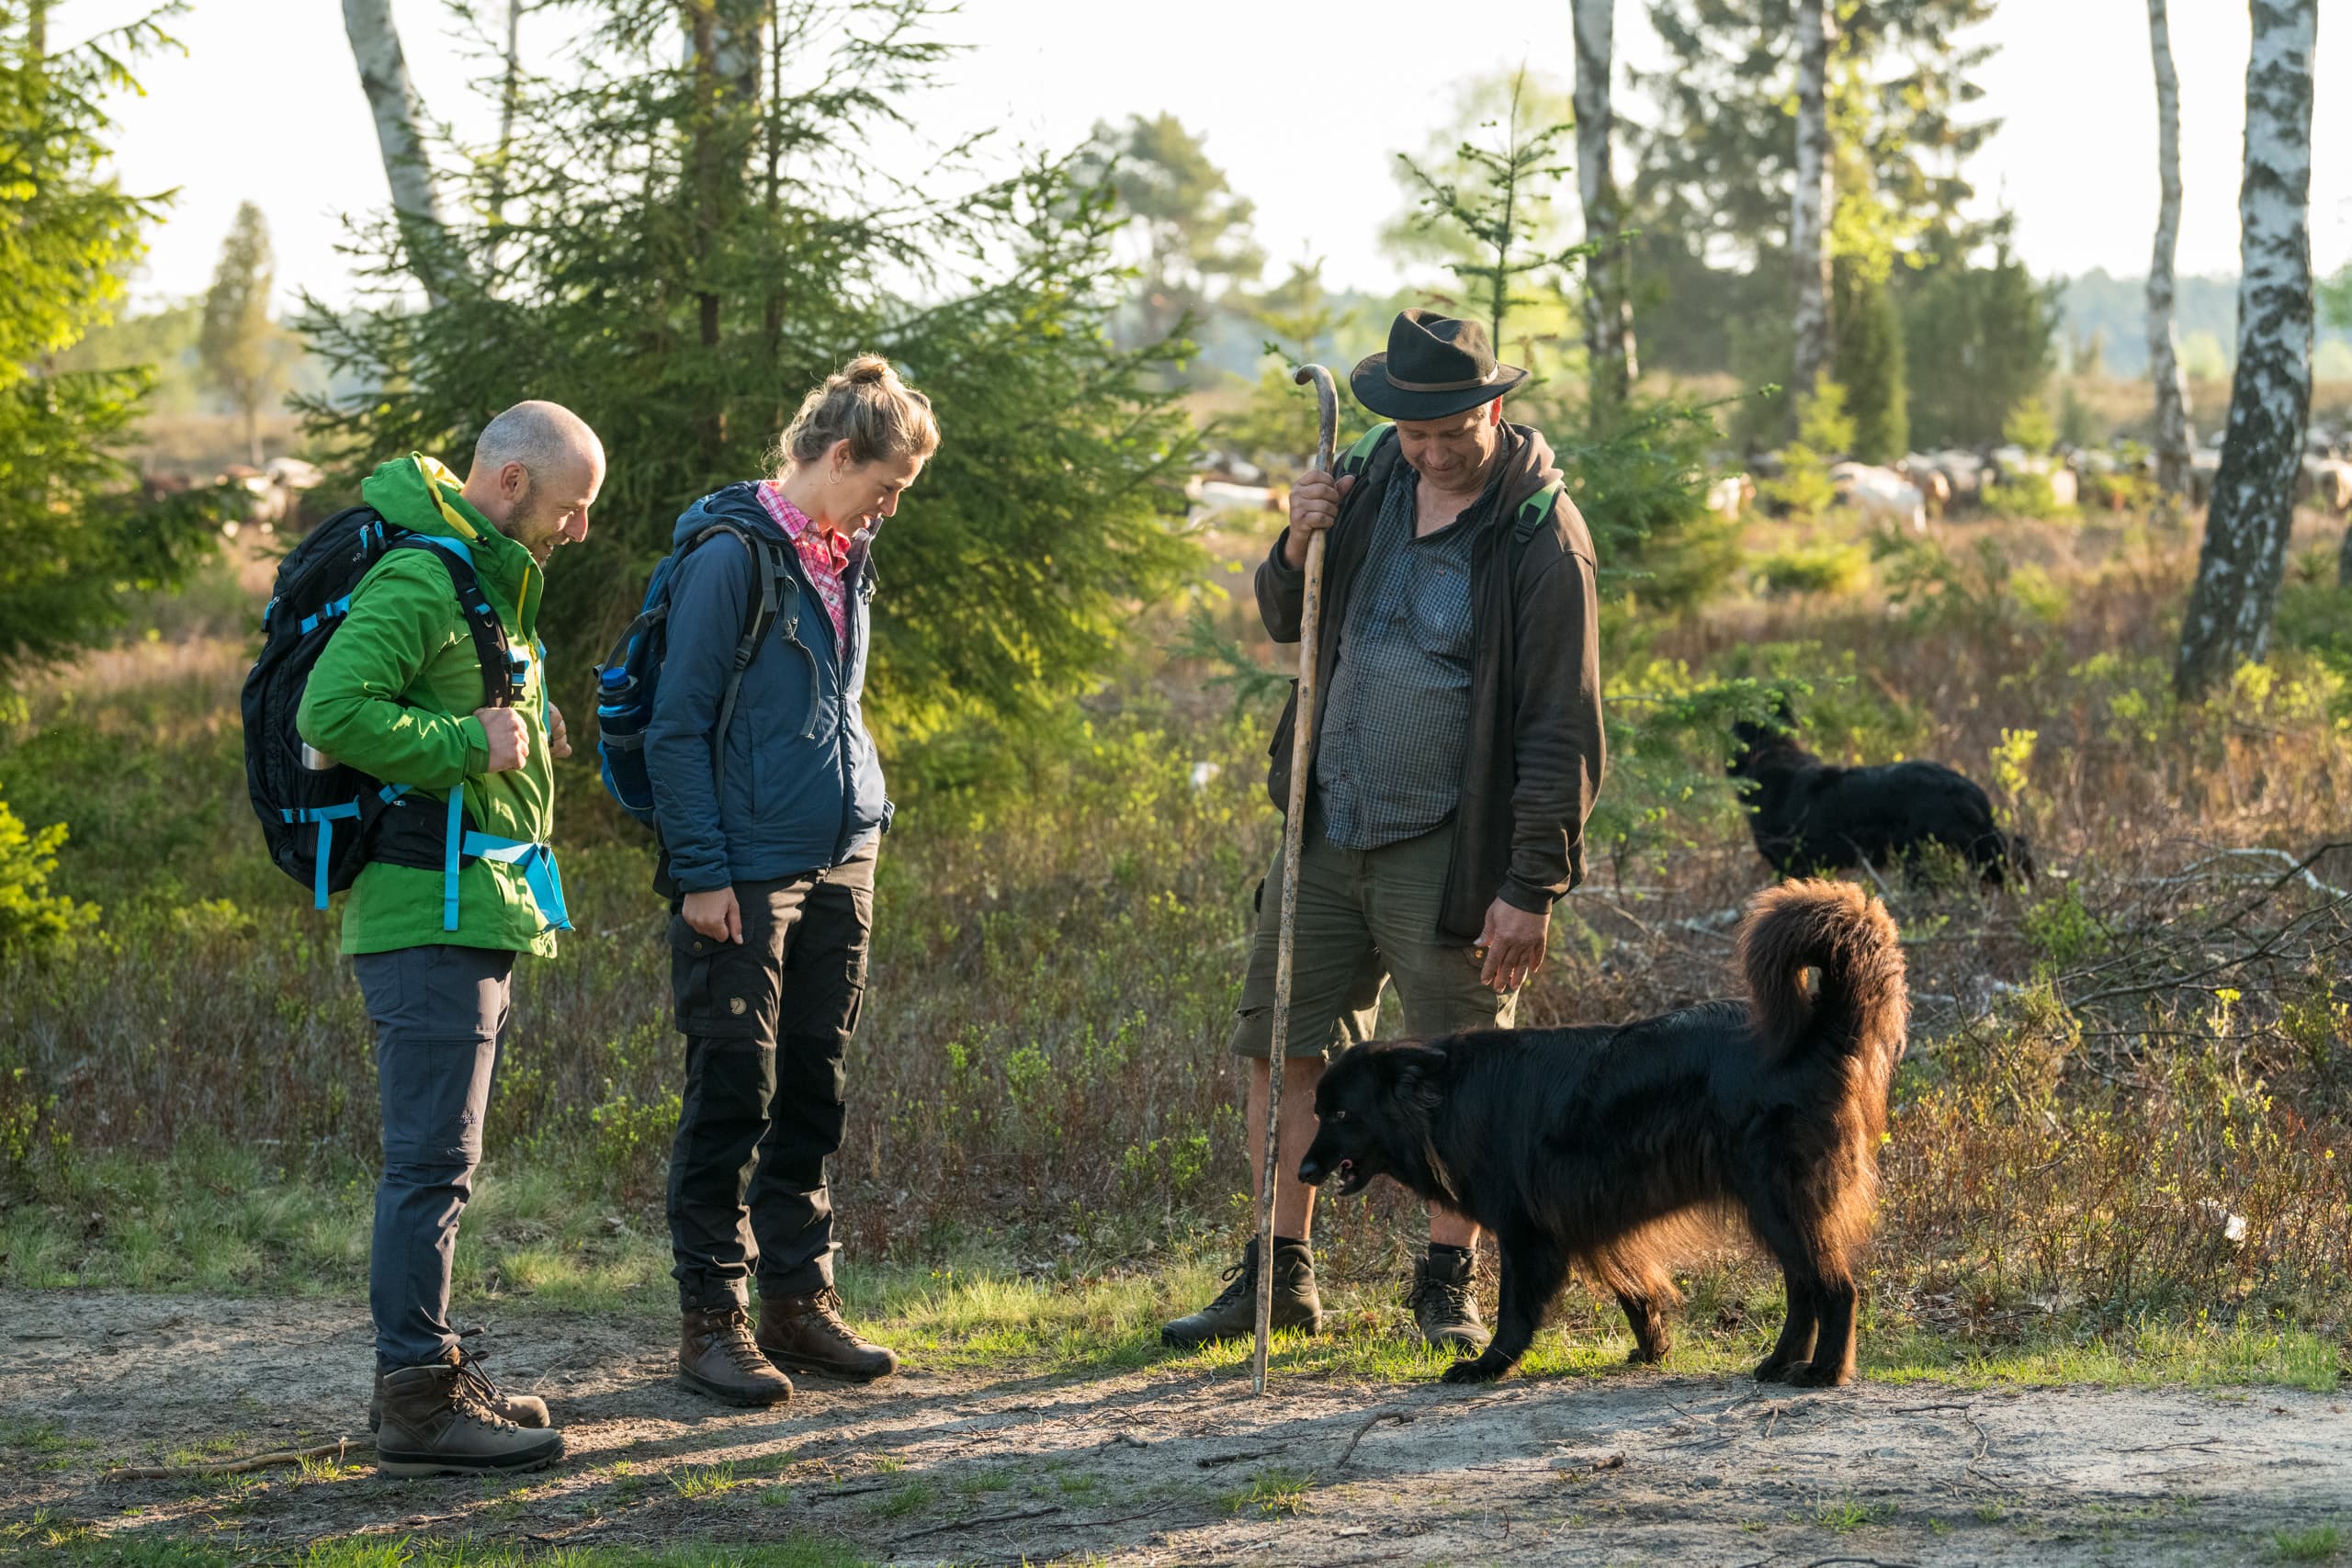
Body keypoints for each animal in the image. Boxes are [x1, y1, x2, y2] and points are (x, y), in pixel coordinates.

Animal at [1298, 884, 1918, 1382]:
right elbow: (1637, 1290)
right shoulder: (1593, 1219)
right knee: (1803, 1286)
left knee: (1834, 1288)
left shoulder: (1527, 1232)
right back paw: (1780, 1363)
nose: (1303, 1171)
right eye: (1319, 1112)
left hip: (1779, 1199)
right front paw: (1653, 1349)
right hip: (1772, 1206)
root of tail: (1816, 1032)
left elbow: (1516, 1312)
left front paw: (1488, 1366)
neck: (1445, 1096)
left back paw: (1824, 1373)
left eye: (1342, 1116)